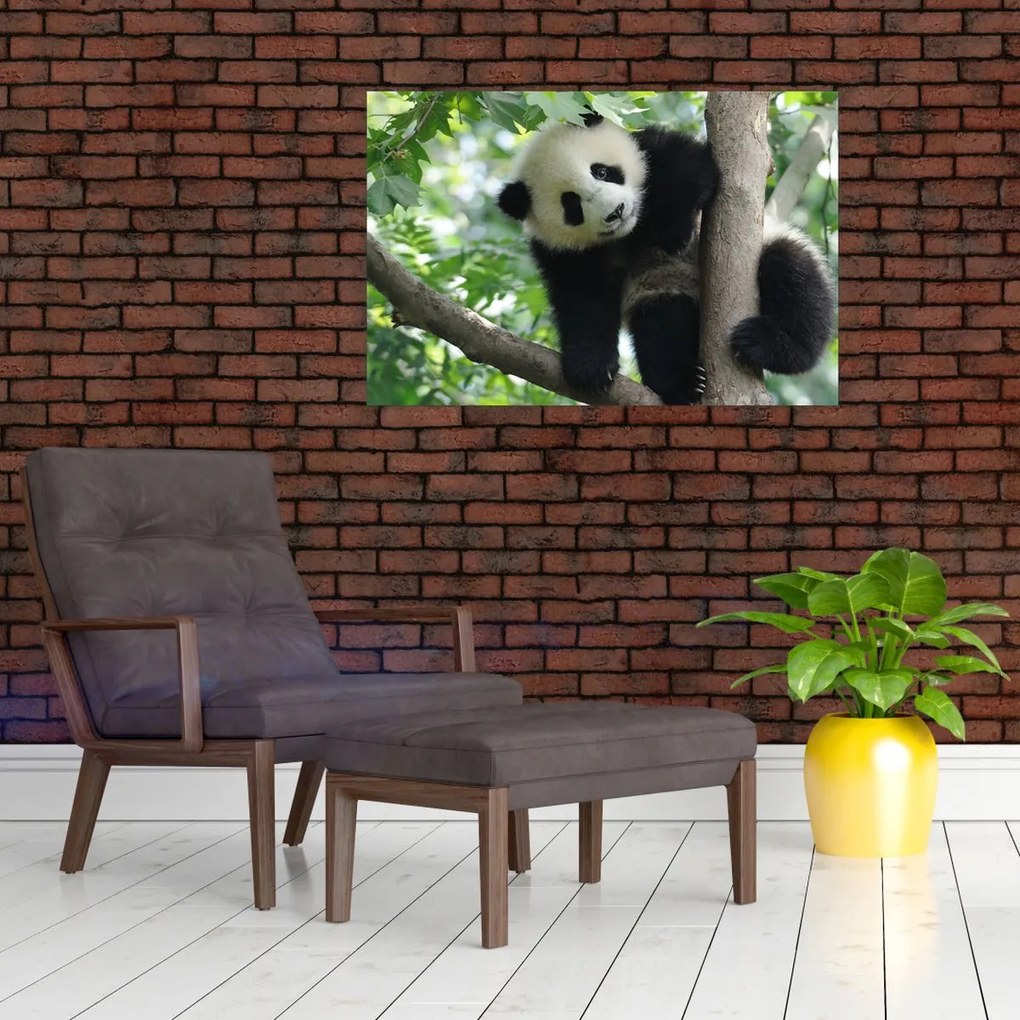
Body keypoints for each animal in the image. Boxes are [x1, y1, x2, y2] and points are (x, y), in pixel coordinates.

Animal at [497, 115, 834, 404]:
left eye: (601, 171)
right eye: (572, 205)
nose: (616, 211)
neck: (631, 231)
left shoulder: (649, 148)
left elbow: (692, 168)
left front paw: (674, 231)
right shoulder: (562, 251)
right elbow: (582, 299)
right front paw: (590, 367)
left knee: (793, 276)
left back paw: (769, 343)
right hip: (663, 290)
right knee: (662, 328)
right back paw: (683, 383)